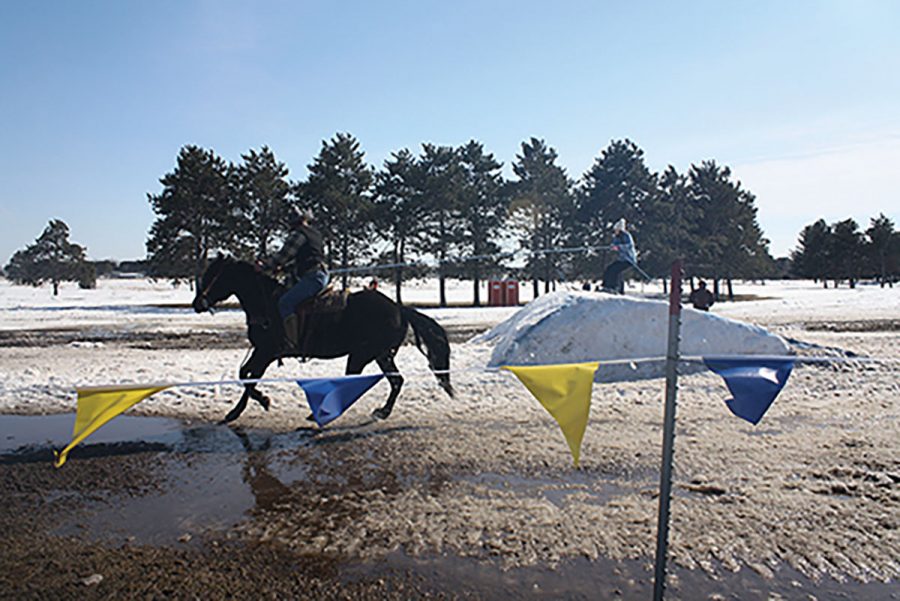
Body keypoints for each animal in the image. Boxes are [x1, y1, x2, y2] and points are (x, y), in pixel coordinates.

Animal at [193, 255, 454, 424]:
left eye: (213, 275)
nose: (197, 303)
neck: (266, 302)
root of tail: (399, 308)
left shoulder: (267, 352)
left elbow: (250, 377)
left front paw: (253, 405)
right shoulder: (261, 351)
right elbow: (244, 374)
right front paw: (244, 407)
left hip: (361, 355)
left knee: (354, 382)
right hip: (380, 355)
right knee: (396, 381)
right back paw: (382, 412)